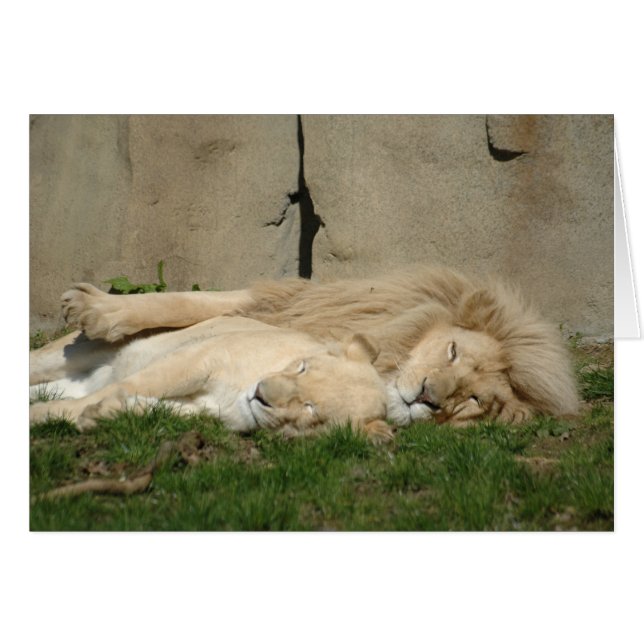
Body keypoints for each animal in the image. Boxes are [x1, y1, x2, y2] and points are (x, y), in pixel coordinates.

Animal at [30, 317, 392, 442]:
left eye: (311, 409)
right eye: (302, 367)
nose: (261, 393)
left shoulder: (203, 412)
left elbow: (154, 408)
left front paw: (102, 415)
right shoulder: (200, 358)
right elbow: (128, 385)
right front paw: (42, 416)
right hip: (70, 352)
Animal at [56, 265, 580, 427]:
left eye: (472, 400)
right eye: (452, 351)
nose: (430, 398)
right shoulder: (295, 303)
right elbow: (190, 301)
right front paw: (94, 310)